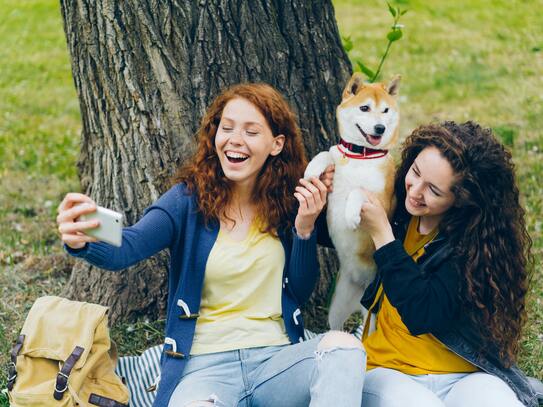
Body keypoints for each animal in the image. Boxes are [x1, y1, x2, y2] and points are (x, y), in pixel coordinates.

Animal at [306, 72, 400, 332]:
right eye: (364, 108)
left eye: (385, 110)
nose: (380, 127)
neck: (361, 155)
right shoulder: (337, 156)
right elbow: (326, 153)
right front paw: (311, 169)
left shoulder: (384, 202)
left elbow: (358, 190)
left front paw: (351, 214)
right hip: (337, 306)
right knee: (335, 327)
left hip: (372, 313)